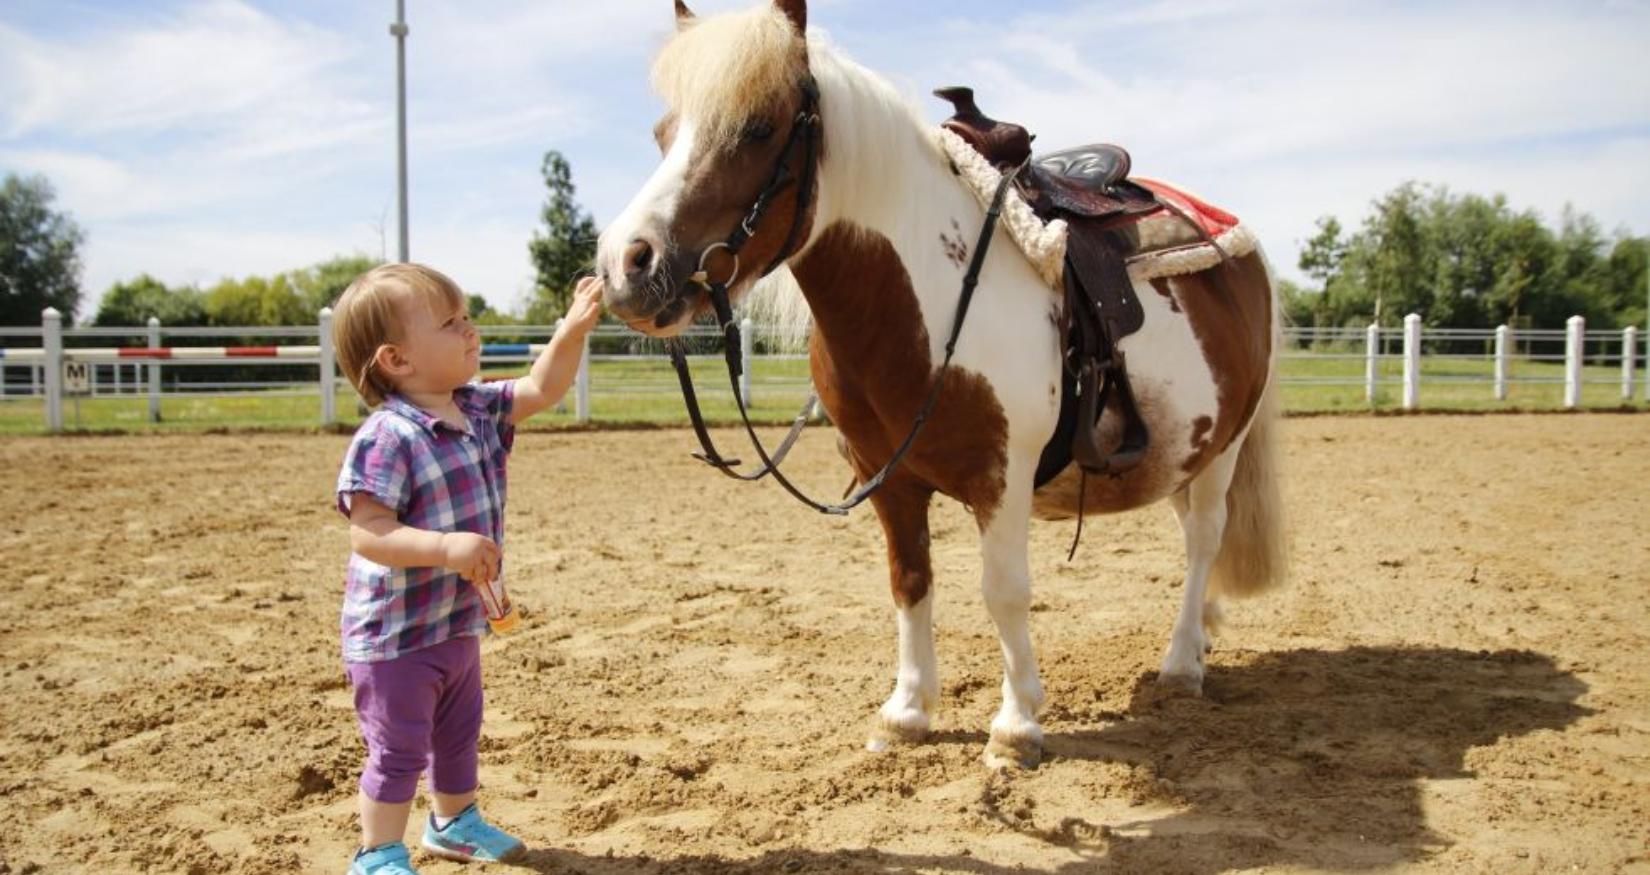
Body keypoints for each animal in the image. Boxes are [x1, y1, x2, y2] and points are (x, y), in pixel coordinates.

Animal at [597, 0, 1287, 762]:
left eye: (757, 127)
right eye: (663, 133)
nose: (626, 264)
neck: (925, 298)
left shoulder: (1002, 477)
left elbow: (1004, 590)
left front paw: (1016, 725)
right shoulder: (887, 479)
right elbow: (909, 581)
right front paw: (907, 710)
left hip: (1226, 445)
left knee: (1204, 538)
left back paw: (1182, 662)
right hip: (1179, 448)